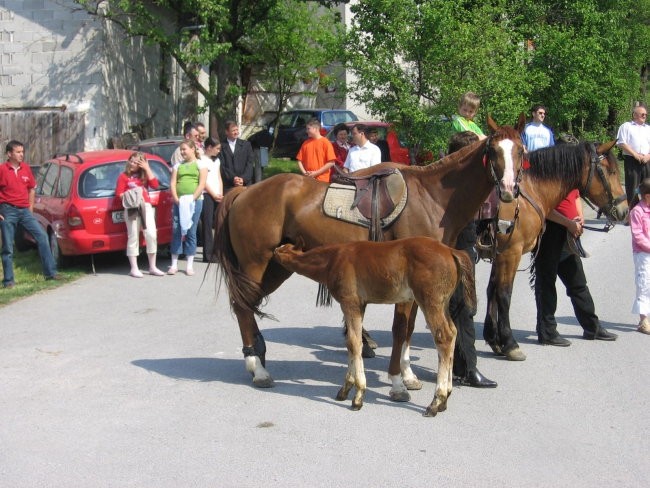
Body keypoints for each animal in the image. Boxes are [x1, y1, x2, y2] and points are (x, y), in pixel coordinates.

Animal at [214, 116, 528, 398]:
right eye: (493, 151)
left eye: (521, 151)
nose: (508, 190)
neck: (431, 197)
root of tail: (244, 191)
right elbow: (400, 329)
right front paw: (398, 381)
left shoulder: (417, 286)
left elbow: (409, 328)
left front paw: (408, 375)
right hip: (255, 265)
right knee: (243, 307)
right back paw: (258, 369)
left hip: (276, 267)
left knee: (247, 306)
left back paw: (258, 359)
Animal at [270, 236, 474, 416]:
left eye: (280, 250)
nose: (271, 253)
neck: (332, 260)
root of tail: (451, 251)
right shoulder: (360, 305)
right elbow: (352, 343)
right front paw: (345, 389)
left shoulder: (350, 302)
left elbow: (354, 343)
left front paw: (358, 396)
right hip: (443, 303)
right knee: (453, 332)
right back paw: (445, 398)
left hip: (430, 300)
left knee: (444, 337)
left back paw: (436, 402)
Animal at [480, 141, 628, 358]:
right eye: (610, 171)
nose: (624, 210)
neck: (525, 197)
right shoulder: (510, 253)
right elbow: (504, 294)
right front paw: (509, 344)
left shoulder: (498, 254)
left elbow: (492, 291)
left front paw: (494, 341)